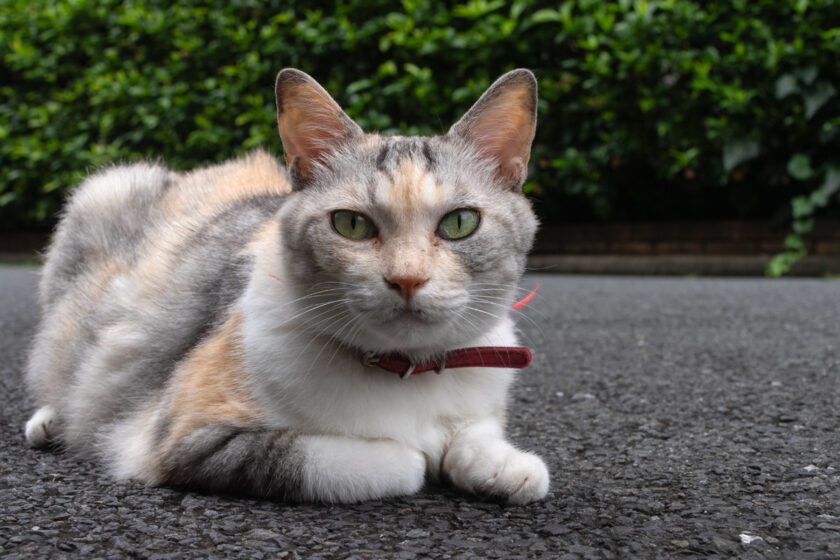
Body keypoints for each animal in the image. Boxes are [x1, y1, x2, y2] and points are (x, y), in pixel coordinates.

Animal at [23, 68, 548, 506]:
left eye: (460, 223)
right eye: (351, 225)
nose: (407, 278)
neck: (408, 372)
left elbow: (475, 432)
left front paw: (506, 466)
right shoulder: (184, 439)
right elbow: (377, 463)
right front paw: (417, 455)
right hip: (103, 191)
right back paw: (51, 421)